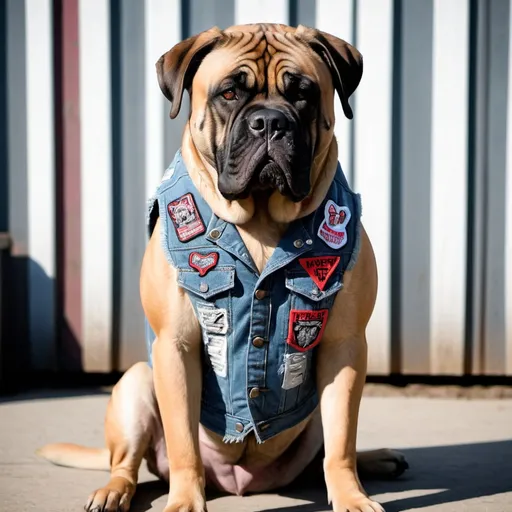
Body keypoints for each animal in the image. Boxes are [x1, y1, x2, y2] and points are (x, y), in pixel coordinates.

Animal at [38, 23, 408, 512]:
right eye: (229, 93)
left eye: (303, 94)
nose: (270, 121)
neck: (261, 218)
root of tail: (242, 482)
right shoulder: (175, 346)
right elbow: (182, 443)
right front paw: (183, 501)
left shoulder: (344, 346)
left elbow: (341, 440)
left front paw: (350, 496)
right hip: (137, 382)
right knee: (127, 464)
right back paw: (113, 491)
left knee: (323, 453)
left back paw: (380, 458)